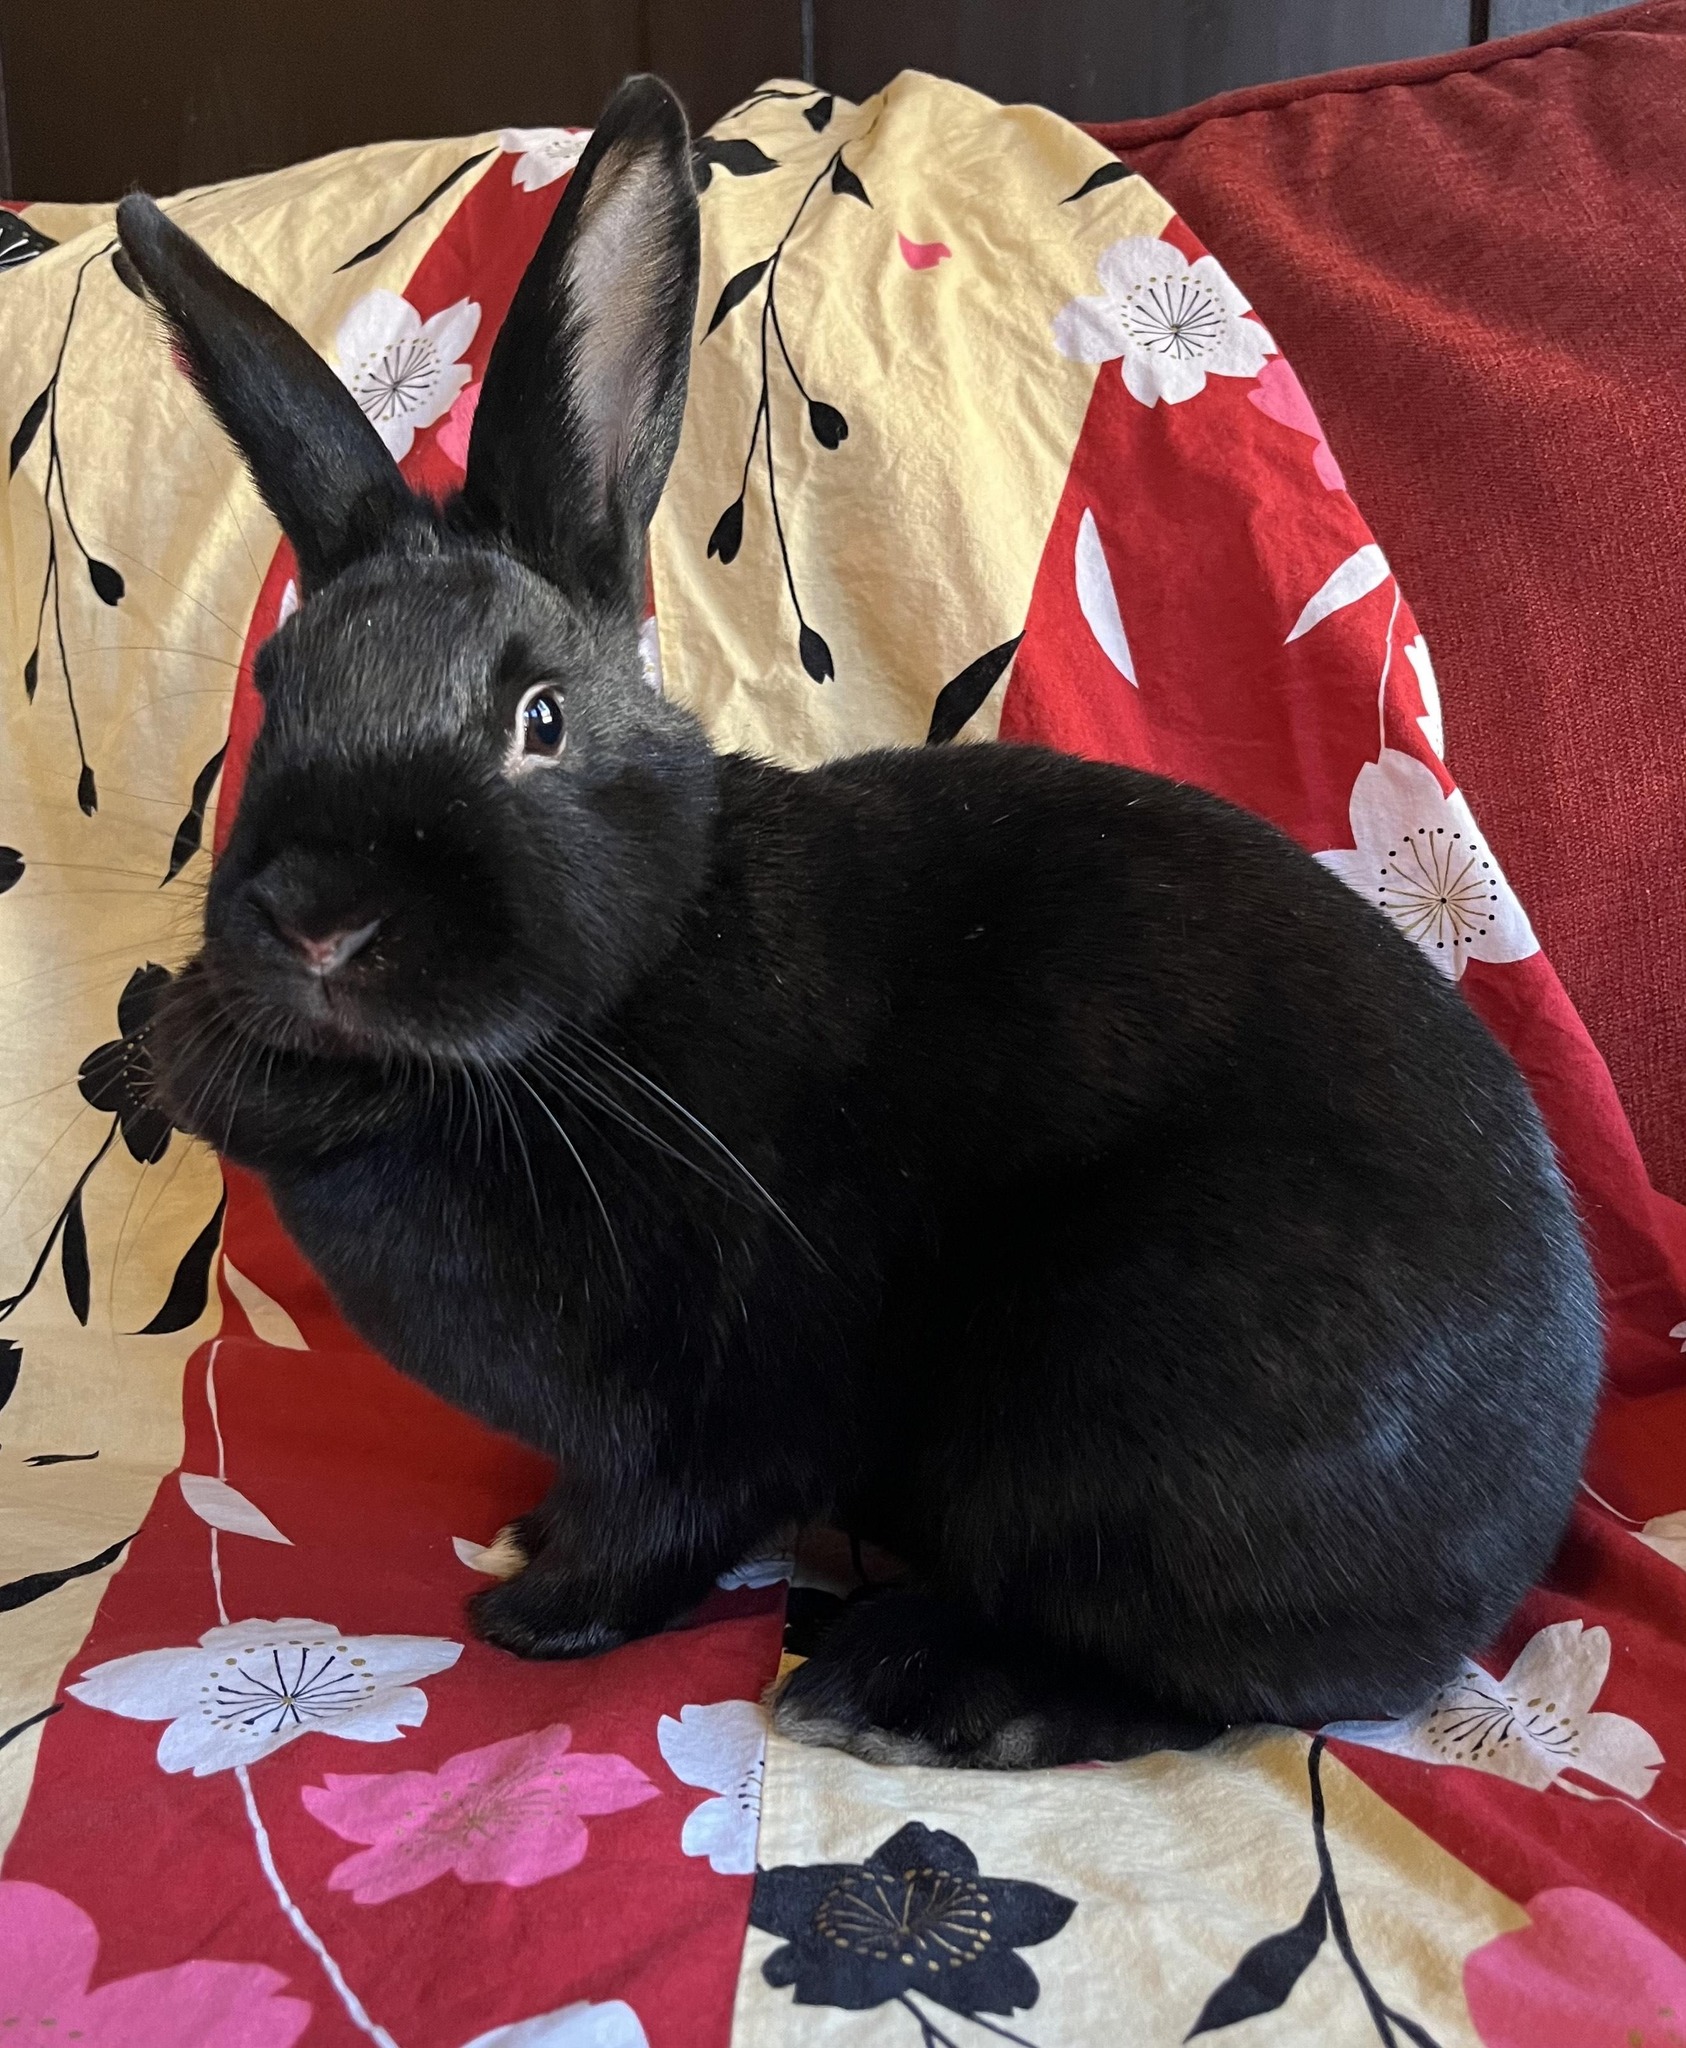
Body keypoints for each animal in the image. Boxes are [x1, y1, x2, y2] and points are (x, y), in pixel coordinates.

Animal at [117, 74, 1602, 1770]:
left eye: (538, 719)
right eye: (276, 694)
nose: (316, 924)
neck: (590, 1027)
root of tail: (1517, 1537)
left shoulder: (715, 1388)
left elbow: (664, 1520)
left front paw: (535, 1610)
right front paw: (523, 1534)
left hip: (1128, 1407)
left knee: (1191, 1676)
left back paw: (901, 1690)